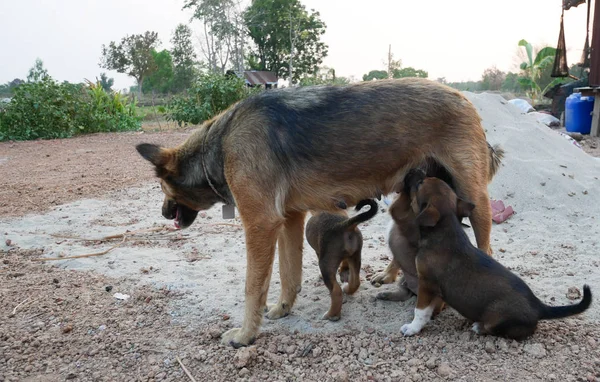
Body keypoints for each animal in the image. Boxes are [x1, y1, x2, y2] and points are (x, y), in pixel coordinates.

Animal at [136, 77, 502, 346]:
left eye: (161, 188)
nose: (164, 214)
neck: (220, 143)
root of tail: (464, 97)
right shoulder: (289, 220)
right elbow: (289, 275)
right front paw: (282, 309)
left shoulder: (260, 224)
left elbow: (253, 287)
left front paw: (245, 335)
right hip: (409, 191)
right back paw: (388, 276)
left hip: (473, 197)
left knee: (485, 248)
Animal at [398, 175, 592, 338]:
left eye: (420, 184)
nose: (416, 172)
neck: (444, 229)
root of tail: (539, 306)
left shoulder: (426, 283)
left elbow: (420, 311)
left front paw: (412, 328)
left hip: (496, 318)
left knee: (499, 329)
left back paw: (478, 327)